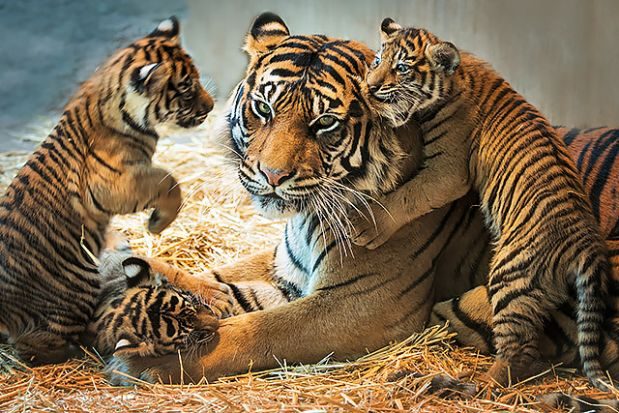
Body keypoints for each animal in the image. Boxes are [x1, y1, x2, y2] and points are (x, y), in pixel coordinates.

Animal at [0, 16, 216, 364]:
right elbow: (168, 181)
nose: (210, 106)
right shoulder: (119, 183)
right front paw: (157, 224)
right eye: (185, 88)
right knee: (34, 346)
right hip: (77, 288)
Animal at [104, 12, 616, 390]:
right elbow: (214, 282)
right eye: (263, 109)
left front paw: (150, 362)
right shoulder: (287, 271)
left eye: (324, 124)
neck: (308, 218)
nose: (271, 176)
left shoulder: (362, 304)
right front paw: (122, 272)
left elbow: (260, 330)